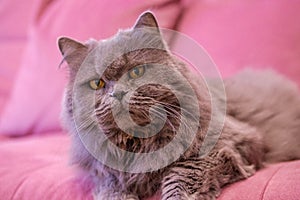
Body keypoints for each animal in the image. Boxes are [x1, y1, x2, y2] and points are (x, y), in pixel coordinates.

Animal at [58, 11, 300, 200]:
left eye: (136, 72)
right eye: (97, 83)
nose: (117, 93)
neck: (138, 143)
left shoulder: (229, 145)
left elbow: (181, 176)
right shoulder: (104, 174)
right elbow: (110, 189)